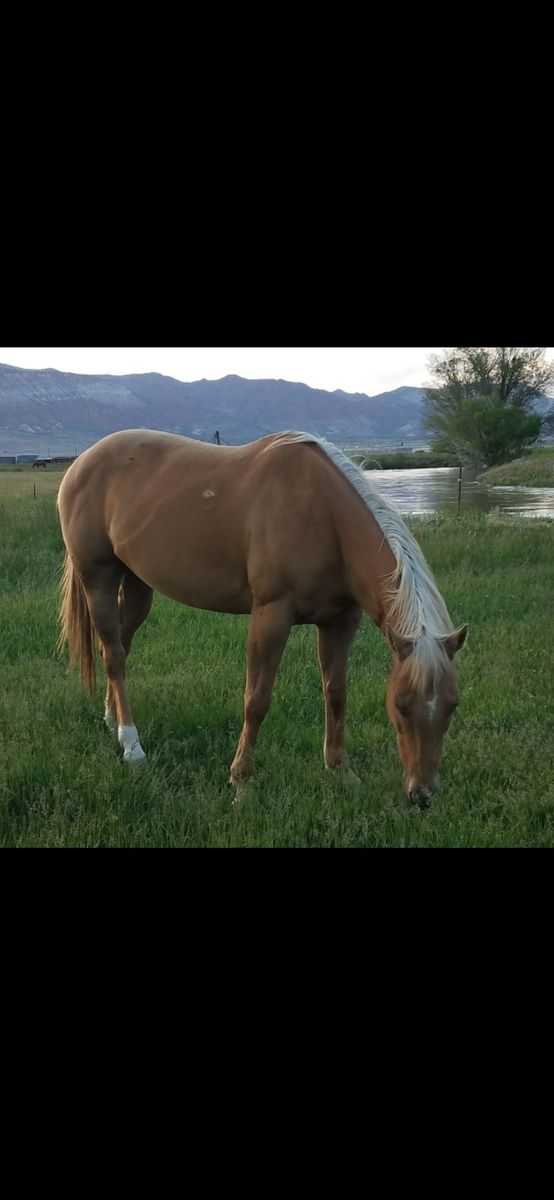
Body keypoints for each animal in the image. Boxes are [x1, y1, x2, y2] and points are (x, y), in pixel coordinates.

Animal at [57, 428, 468, 808]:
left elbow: (336, 693)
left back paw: (112, 721)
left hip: (138, 585)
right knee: (113, 655)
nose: (423, 794)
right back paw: (132, 746)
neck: (324, 515)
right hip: (98, 580)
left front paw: (340, 770)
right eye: (400, 703)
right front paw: (241, 782)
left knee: (119, 648)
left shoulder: (340, 621)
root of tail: (81, 463)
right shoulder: (271, 615)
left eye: (452, 704)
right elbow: (256, 699)